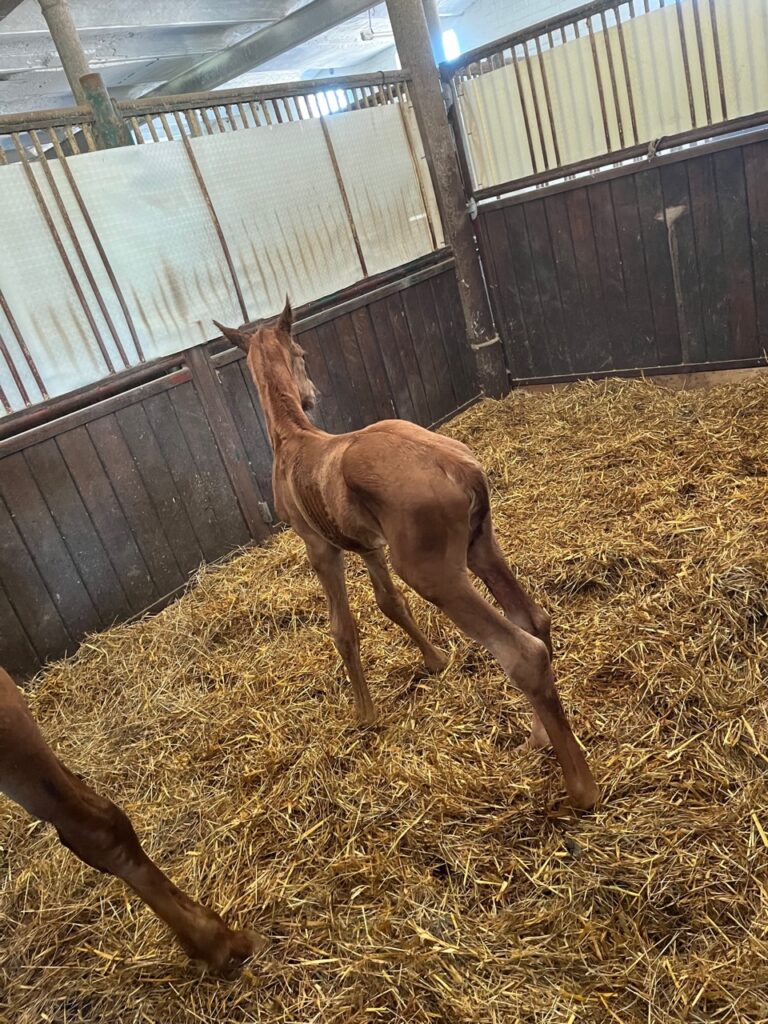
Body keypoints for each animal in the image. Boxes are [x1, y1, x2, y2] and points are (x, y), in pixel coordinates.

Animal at [217, 299, 602, 811]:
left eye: (301, 353)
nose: (312, 393)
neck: (294, 439)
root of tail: (458, 466)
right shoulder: (369, 547)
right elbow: (390, 604)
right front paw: (435, 662)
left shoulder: (320, 549)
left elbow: (343, 628)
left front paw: (364, 713)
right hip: (481, 546)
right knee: (533, 619)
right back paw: (538, 736)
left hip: (433, 572)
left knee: (523, 653)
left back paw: (581, 787)